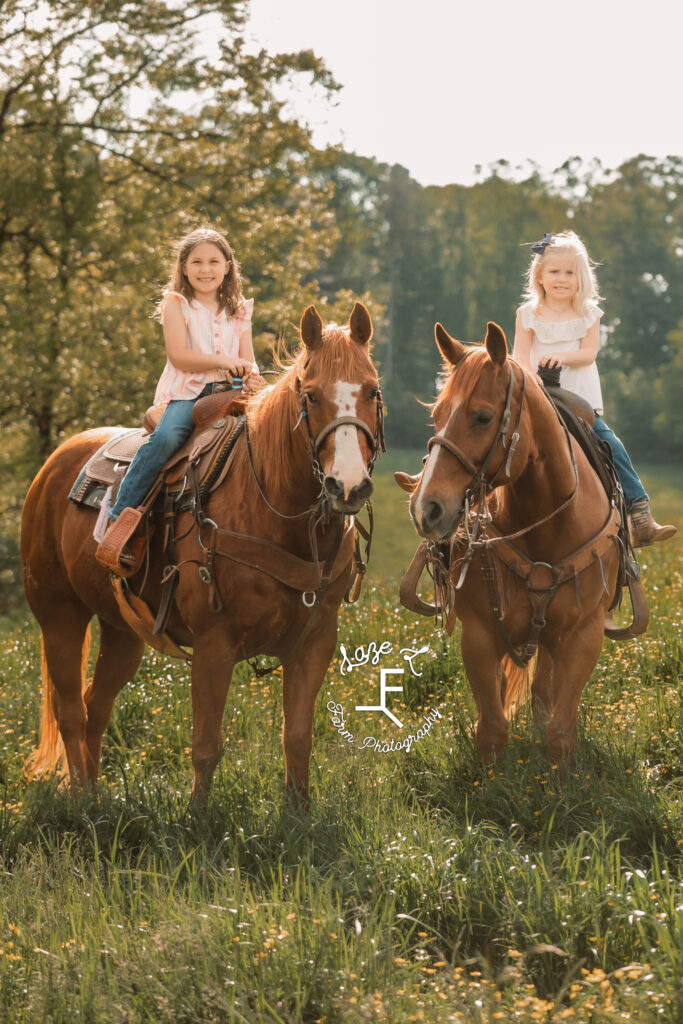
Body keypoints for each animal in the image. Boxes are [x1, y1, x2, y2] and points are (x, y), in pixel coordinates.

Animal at [21, 301, 382, 798]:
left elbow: (297, 738)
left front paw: (299, 809)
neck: (271, 506)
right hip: (59, 615)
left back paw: (94, 796)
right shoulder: (215, 643)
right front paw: (197, 814)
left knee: (96, 707)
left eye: (372, 390)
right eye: (310, 396)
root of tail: (52, 467)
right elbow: (206, 746)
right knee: (71, 712)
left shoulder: (316, 641)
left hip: (122, 630)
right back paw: (79, 801)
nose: (347, 486)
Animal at [397, 323, 622, 765]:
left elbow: (560, 731)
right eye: (436, 416)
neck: (546, 529)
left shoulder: (583, 637)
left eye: (483, 417)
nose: (426, 508)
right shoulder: (481, 635)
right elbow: (492, 729)